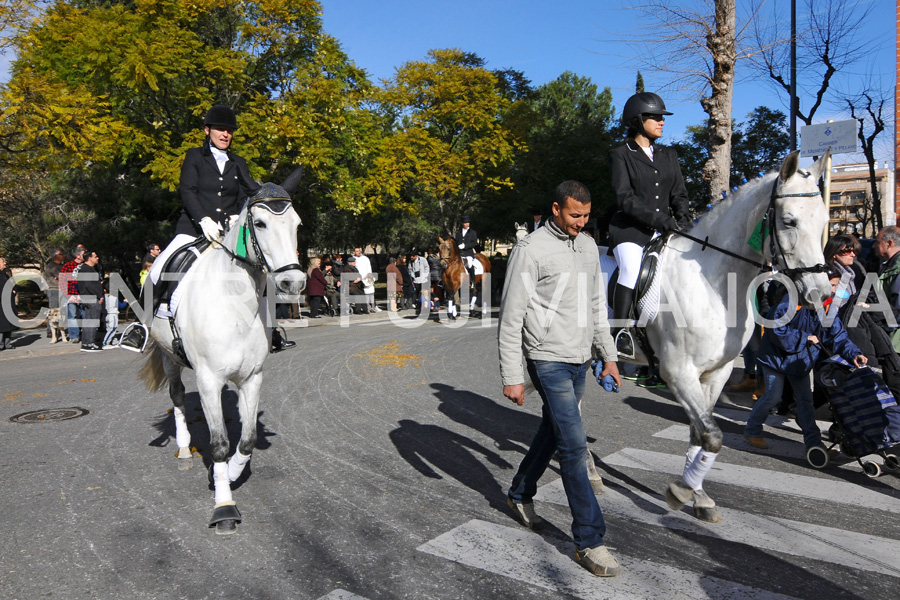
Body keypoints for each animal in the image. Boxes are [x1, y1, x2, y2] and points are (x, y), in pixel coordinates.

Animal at [612, 150, 828, 520]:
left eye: (825, 221)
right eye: (789, 221)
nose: (822, 293)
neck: (713, 282)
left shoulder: (716, 372)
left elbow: (700, 434)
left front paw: (698, 495)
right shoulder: (677, 372)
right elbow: (712, 436)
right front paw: (681, 492)